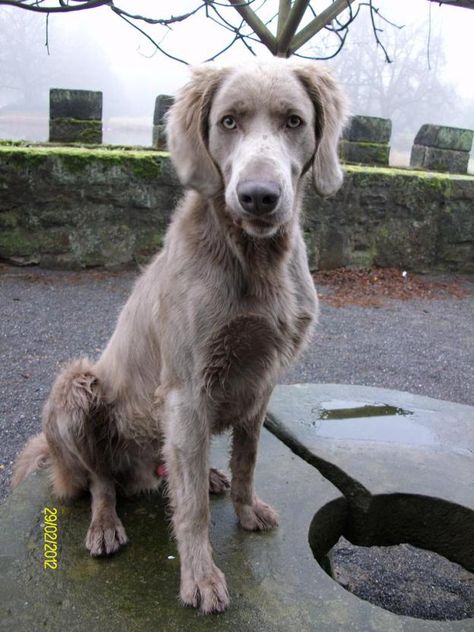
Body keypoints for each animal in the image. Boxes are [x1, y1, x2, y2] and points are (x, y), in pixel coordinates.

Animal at [12, 59, 346, 612]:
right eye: (228, 122)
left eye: (294, 122)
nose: (258, 196)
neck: (254, 260)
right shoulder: (187, 390)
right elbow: (189, 509)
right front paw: (200, 578)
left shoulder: (261, 383)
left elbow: (248, 459)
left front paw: (246, 509)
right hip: (76, 386)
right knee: (102, 480)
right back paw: (106, 524)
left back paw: (208, 475)